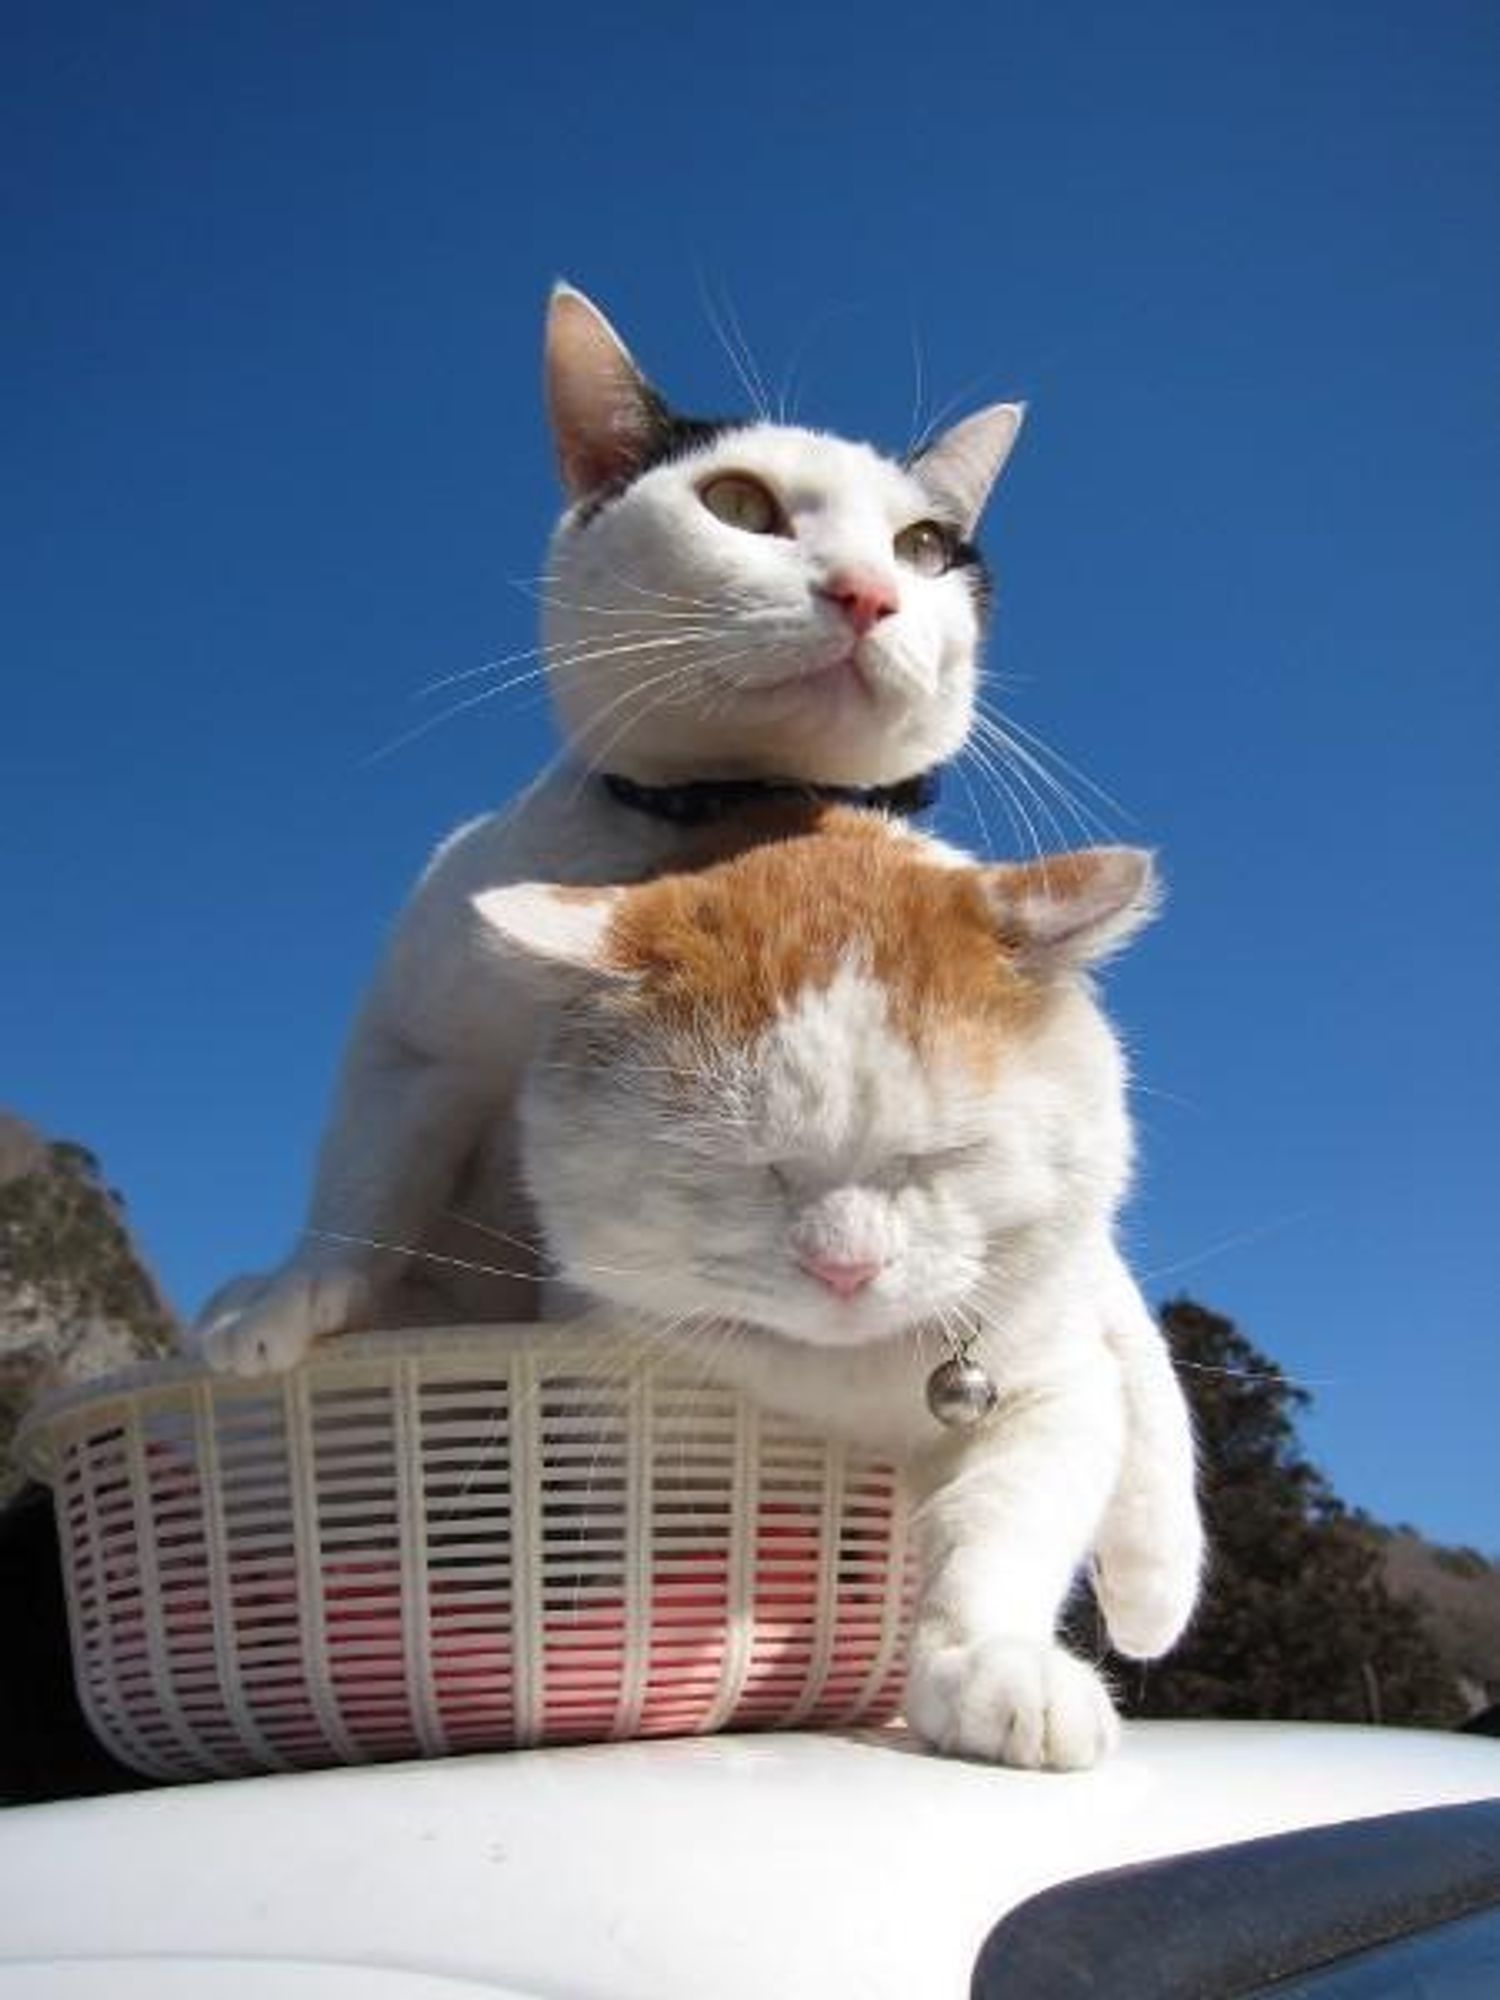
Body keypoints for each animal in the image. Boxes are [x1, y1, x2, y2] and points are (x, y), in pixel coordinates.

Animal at [194, 286, 1032, 1376]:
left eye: (924, 549)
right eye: (740, 504)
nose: (868, 591)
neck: (732, 810)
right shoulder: (414, 1044)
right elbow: (366, 1180)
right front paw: (297, 1290)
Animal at [476, 804, 1208, 1776]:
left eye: (937, 1157)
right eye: (750, 1169)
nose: (846, 1267)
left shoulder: (1050, 1396)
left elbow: (993, 1535)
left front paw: (993, 1665)